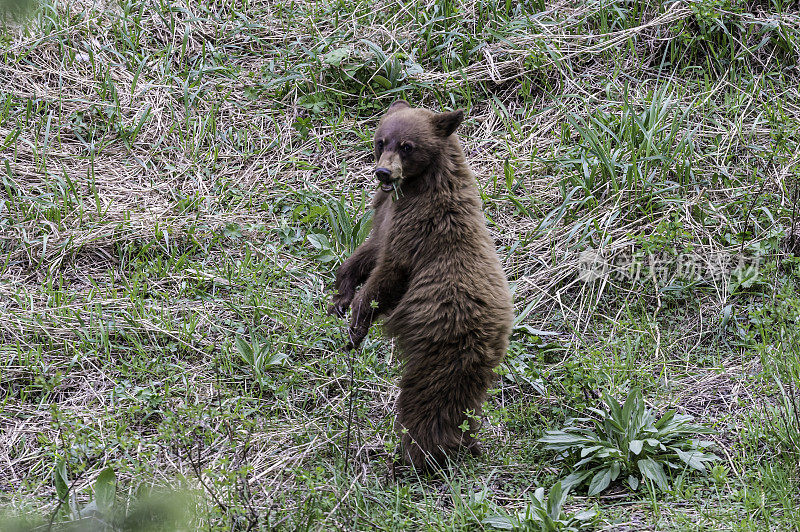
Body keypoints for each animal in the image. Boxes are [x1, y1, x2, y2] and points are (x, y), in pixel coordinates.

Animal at [330, 100, 512, 470]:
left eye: (407, 146)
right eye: (381, 141)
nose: (383, 173)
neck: (417, 186)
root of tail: (500, 327)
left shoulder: (418, 228)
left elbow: (388, 274)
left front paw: (357, 324)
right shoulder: (386, 217)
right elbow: (369, 250)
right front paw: (341, 295)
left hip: (440, 338)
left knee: (428, 396)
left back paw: (418, 455)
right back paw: (464, 444)